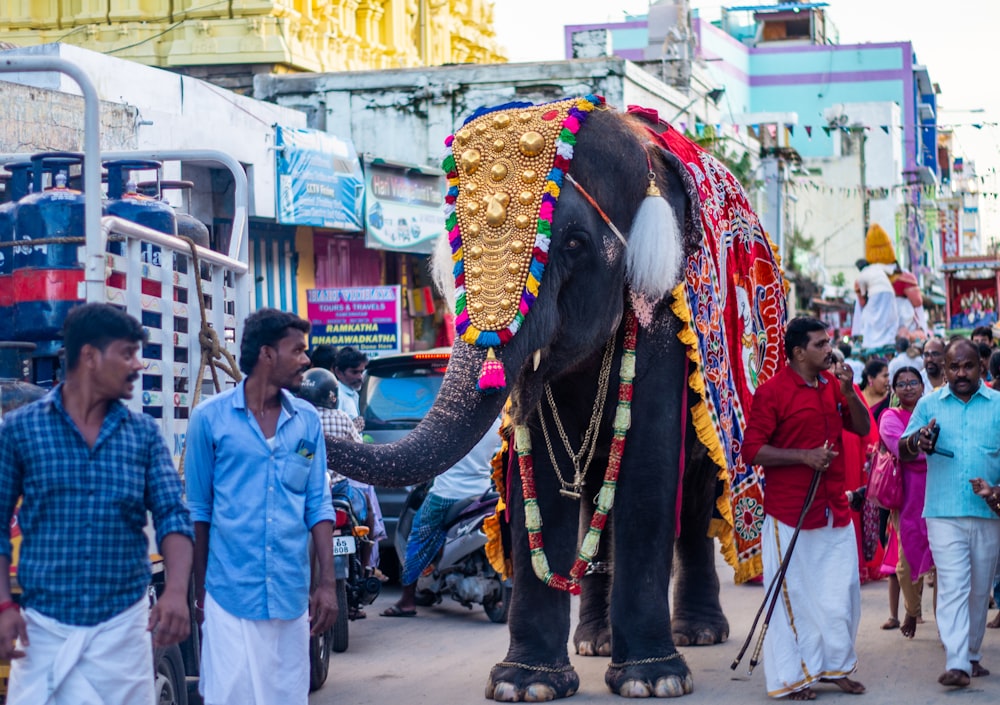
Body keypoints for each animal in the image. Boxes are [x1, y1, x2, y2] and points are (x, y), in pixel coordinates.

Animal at [332, 97, 784, 700]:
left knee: (691, 495)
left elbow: (647, 470)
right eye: (454, 252)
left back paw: (698, 635)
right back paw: (595, 642)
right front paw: (524, 685)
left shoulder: (662, 320)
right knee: (596, 498)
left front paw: (653, 681)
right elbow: (539, 481)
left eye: (572, 243)